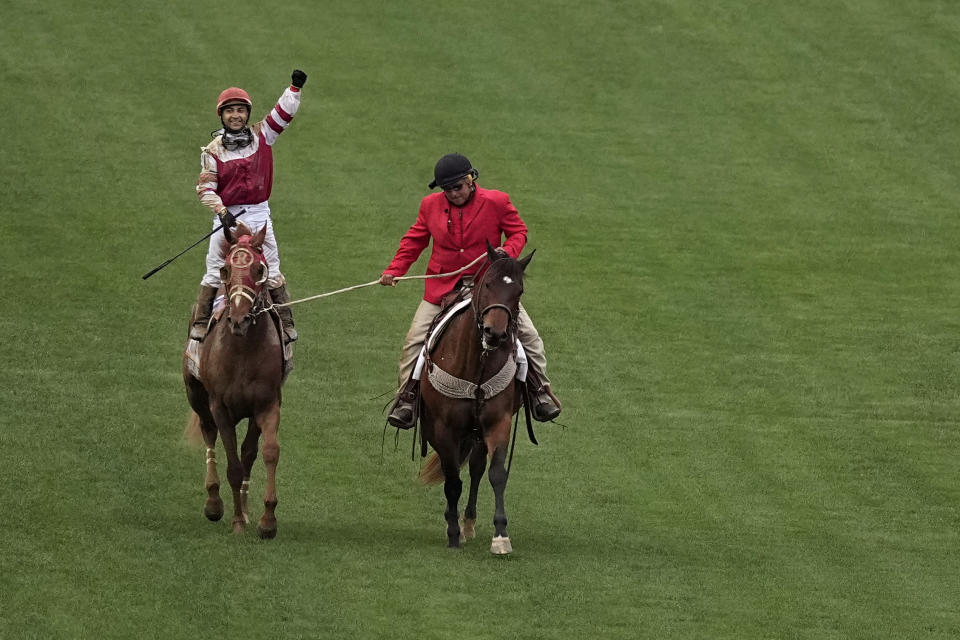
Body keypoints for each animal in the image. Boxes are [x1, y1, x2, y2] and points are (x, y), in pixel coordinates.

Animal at [181, 222, 284, 536]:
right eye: (226, 270)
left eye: (259, 270)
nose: (239, 320)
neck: (243, 350)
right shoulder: (220, 407)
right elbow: (233, 465)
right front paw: (236, 521)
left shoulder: (267, 404)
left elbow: (266, 452)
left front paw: (266, 520)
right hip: (196, 396)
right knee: (209, 434)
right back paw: (214, 503)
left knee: (248, 452)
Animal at [418, 242, 536, 552]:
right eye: (489, 283)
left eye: (518, 291)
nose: (495, 334)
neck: (477, 365)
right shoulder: (444, 428)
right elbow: (451, 481)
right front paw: (452, 533)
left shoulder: (497, 422)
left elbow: (496, 474)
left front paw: (501, 535)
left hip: (477, 432)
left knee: (476, 468)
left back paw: (469, 522)